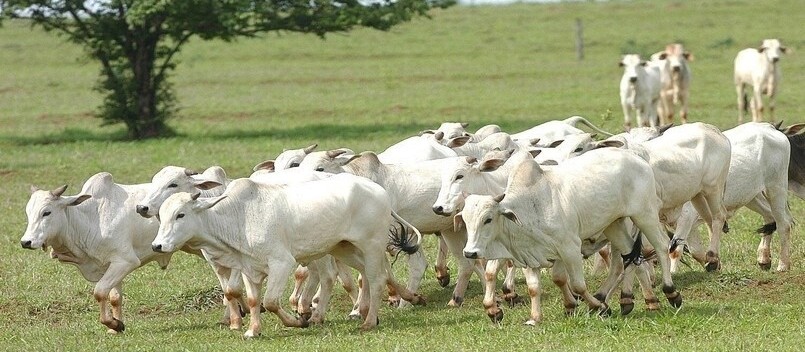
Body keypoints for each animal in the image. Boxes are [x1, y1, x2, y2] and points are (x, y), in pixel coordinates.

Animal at [152, 175, 428, 336]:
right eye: (161, 216)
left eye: (180, 214)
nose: (157, 245)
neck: (239, 217)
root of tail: (378, 190)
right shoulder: (248, 268)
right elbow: (253, 300)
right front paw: (253, 330)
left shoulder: (281, 263)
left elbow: (271, 302)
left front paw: (299, 321)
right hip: (344, 247)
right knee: (374, 275)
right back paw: (407, 298)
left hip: (371, 245)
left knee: (377, 278)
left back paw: (368, 321)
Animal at [456, 149, 680, 324]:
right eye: (465, 220)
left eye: (488, 219)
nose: (469, 252)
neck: (530, 206)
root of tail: (638, 159)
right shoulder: (531, 255)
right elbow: (535, 287)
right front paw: (535, 318)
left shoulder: (569, 248)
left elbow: (578, 285)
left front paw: (599, 307)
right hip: (614, 226)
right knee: (631, 259)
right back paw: (643, 302)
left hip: (644, 214)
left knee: (660, 246)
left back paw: (670, 292)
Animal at [668, 123, 796, 272]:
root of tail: (768, 127)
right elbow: (696, 251)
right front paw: (714, 264)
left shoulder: (687, 216)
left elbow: (676, 251)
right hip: (752, 196)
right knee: (770, 217)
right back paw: (764, 258)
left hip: (776, 187)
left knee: (784, 224)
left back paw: (783, 264)